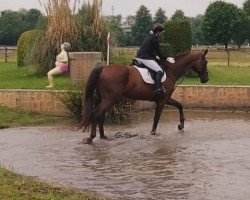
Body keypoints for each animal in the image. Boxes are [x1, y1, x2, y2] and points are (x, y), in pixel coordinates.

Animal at [77, 49, 208, 143]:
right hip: (110, 99)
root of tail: (103, 67)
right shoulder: (162, 100)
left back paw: (103, 136)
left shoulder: (166, 98)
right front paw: (153, 133)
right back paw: (91, 137)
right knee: (96, 113)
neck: (171, 71)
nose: (206, 79)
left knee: (100, 114)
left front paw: (181, 126)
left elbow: (180, 105)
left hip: (103, 98)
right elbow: (156, 117)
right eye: (205, 62)